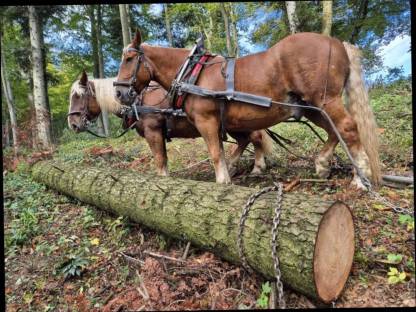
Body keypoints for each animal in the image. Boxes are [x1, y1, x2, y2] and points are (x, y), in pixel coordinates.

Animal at [66, 71, 272, 177]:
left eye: (77, 96)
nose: (73, 124)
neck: (138, 100)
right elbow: (163, 159)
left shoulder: (153, 131)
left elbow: (159, 160)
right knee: (246, 140)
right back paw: (234, 165)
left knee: (255, 137)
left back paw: (256, 166)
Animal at [115, 30, 382, 189]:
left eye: (128, 59)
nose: (119, 93)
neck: (192, 73)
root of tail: (336, 42)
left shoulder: (205, 121)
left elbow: (215, 153)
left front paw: (222, 181)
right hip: (311, 108)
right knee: (333, 131)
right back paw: (323, 164)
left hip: (325, 101)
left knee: (347, 128)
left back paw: (360, 177)